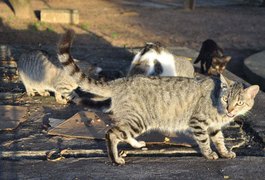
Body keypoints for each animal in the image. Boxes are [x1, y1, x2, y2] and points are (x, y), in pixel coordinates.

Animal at [57, 29, 258, 165]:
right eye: (226, 100)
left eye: (239, 103)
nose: (230, 109)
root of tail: (122, 80)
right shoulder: (198, 123)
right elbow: (205, 141)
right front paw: (210, 154)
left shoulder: (215, 128)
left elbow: (220, 140)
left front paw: (225, 153)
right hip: (138, 119)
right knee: (111, 134)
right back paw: (115, 159)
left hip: (133, 120)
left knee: (122, 133)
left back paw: (136, 144)